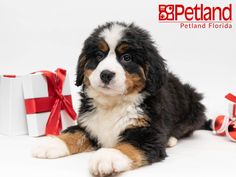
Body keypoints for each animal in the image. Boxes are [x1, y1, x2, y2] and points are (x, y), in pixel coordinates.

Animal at [32, 22, 206, 177]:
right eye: (99, 55)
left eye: (127, 57)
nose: (106, 74)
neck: (112, 103)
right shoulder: (89, 124)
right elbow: (74, 132)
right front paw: (52, 143)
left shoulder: (147, 134)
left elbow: (129, 145)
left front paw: (108, 156)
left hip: (194, 108)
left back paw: (170, 139)